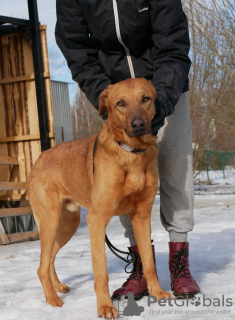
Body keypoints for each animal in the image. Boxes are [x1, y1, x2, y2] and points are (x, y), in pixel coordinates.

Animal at [26, 78, 172, 320]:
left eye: (145, 99)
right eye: (120, 103)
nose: (139, 124)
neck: (131, 154)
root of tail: (39, 158)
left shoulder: (141, 216)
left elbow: (149, 262)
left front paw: (157, 293)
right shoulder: (97, 219)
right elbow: (101, 272)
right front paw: (105, 307)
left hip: (67, 225)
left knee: (48, 259)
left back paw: (57, 287)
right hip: (51, 220)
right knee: (41, 265)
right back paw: (52, 299)